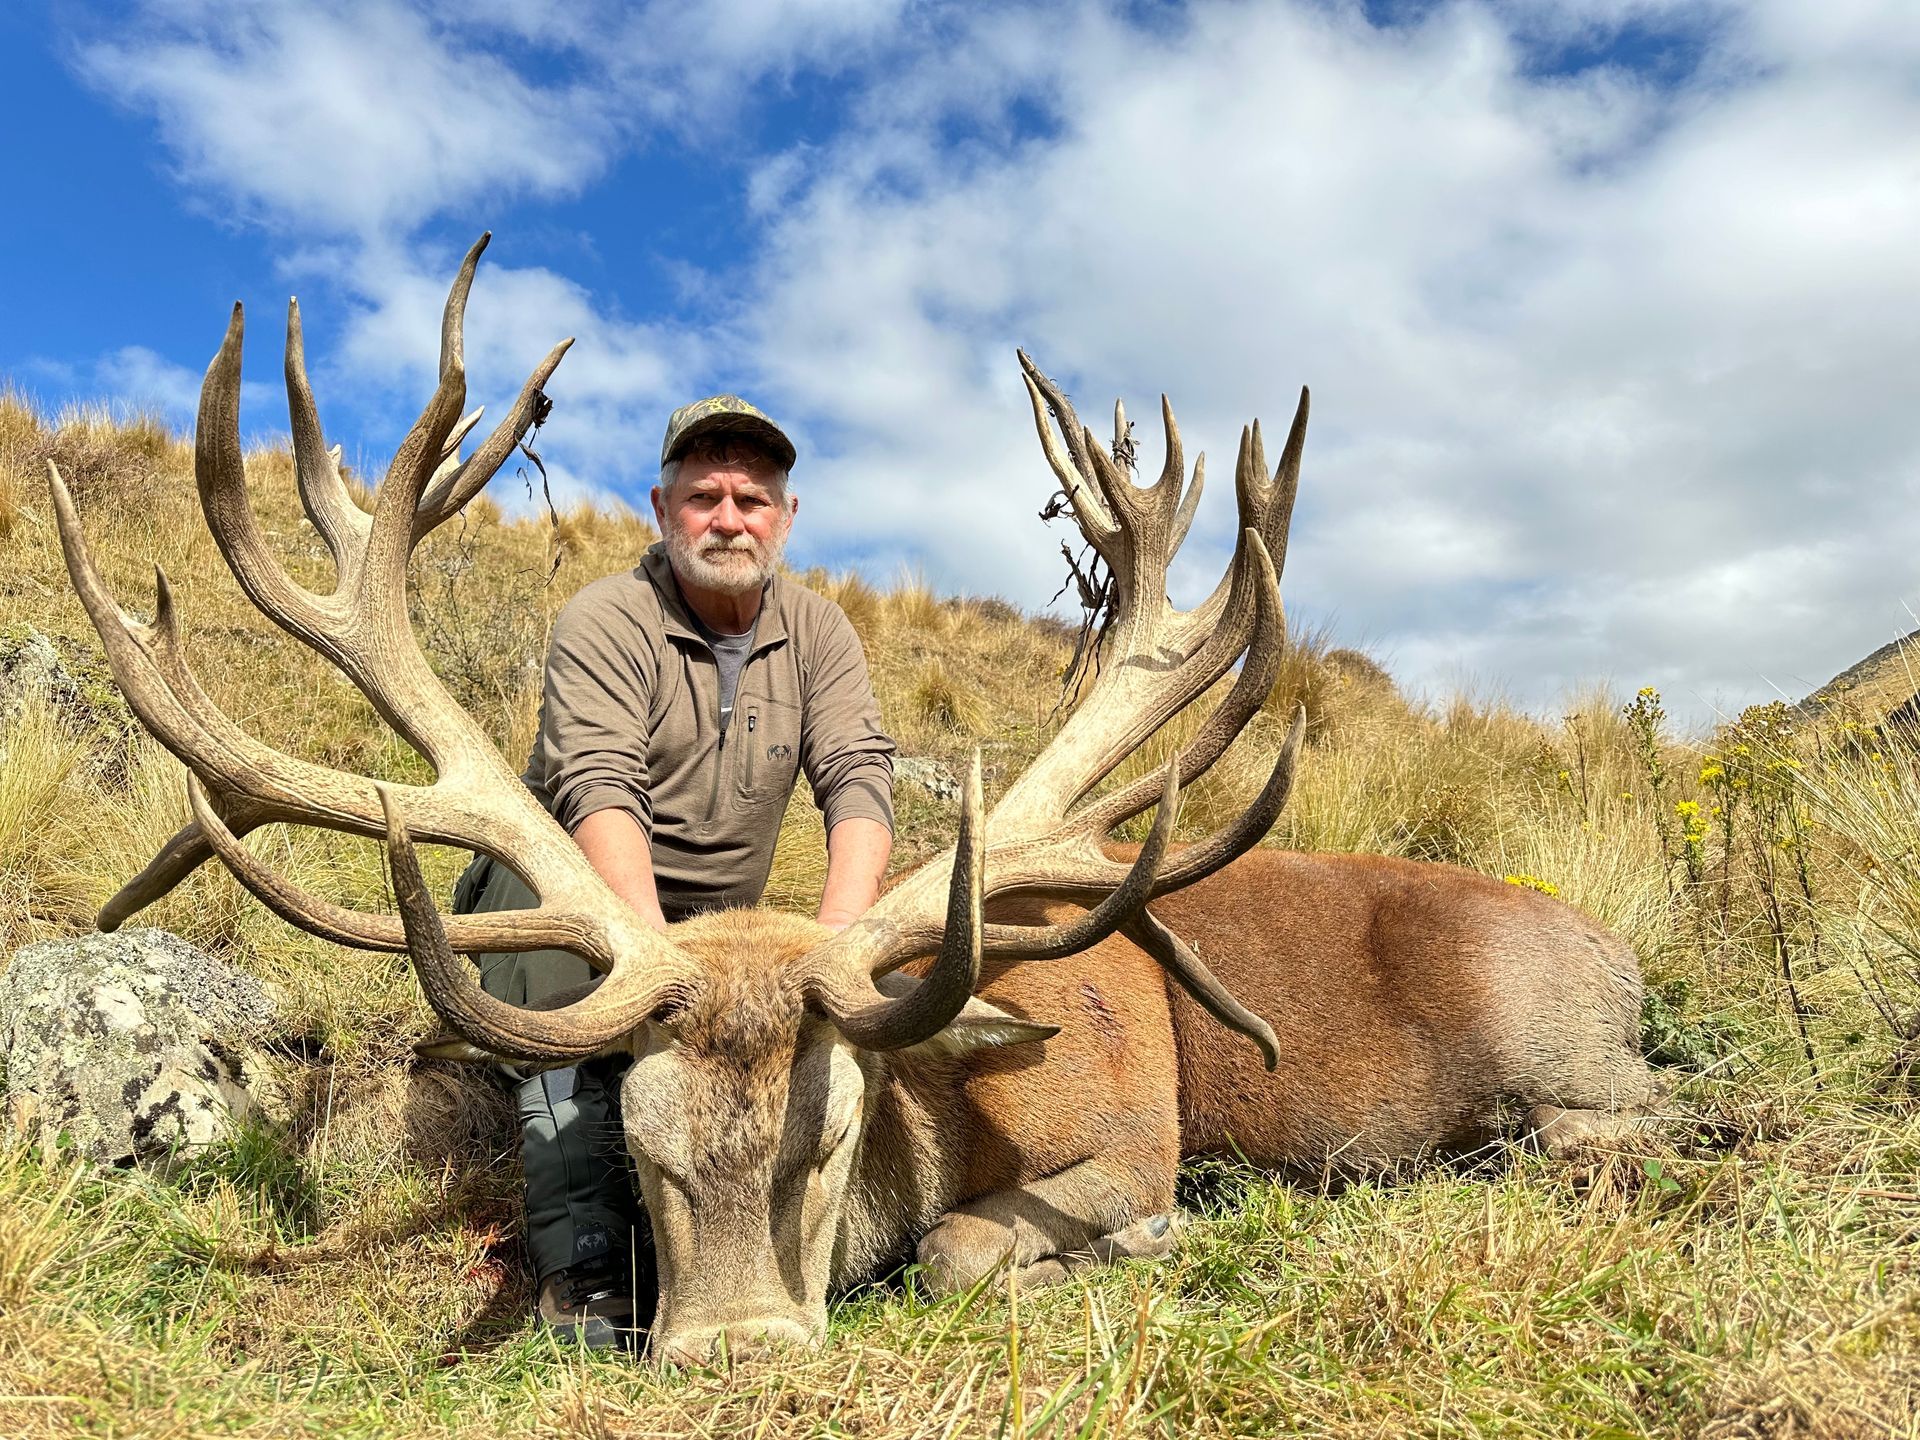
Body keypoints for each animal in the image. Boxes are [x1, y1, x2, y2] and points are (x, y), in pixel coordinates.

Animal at [50, 235, 1653, 1367]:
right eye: (637, 1148)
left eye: (828, 1142)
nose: (736, 1349)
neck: (946, 1102)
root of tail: (1622, 956)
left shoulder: (1135, 1129)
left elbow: (960, 1253)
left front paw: (1129, 1252)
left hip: (1564, 1062)